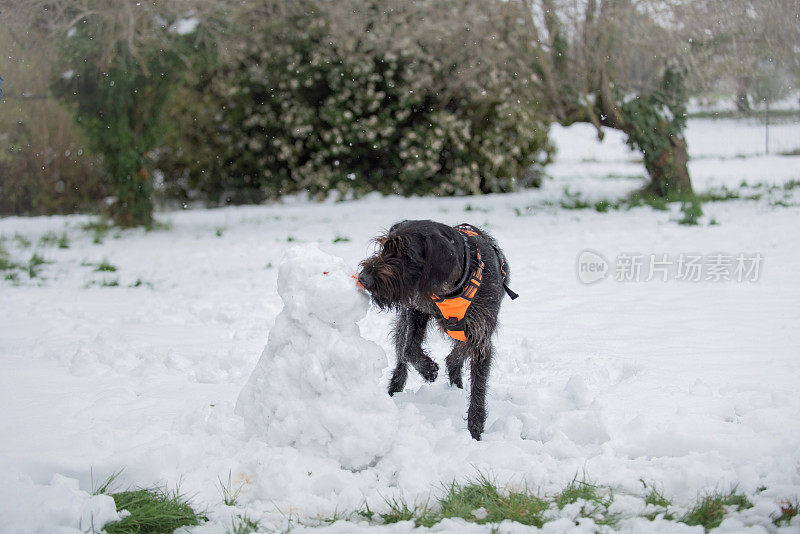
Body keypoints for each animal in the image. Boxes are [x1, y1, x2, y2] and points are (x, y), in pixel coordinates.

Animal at [358, 220, 520, 442]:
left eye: (407, 254)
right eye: (385, 247)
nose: (364, 278)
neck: (453, 287)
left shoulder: (480, 337)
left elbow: (478, 387)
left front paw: (475, 431)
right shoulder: (417, 309)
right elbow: (410, 348)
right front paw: (428, 370)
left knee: (454, 357)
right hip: (403, 325)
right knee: (403, 355)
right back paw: (393, 394)